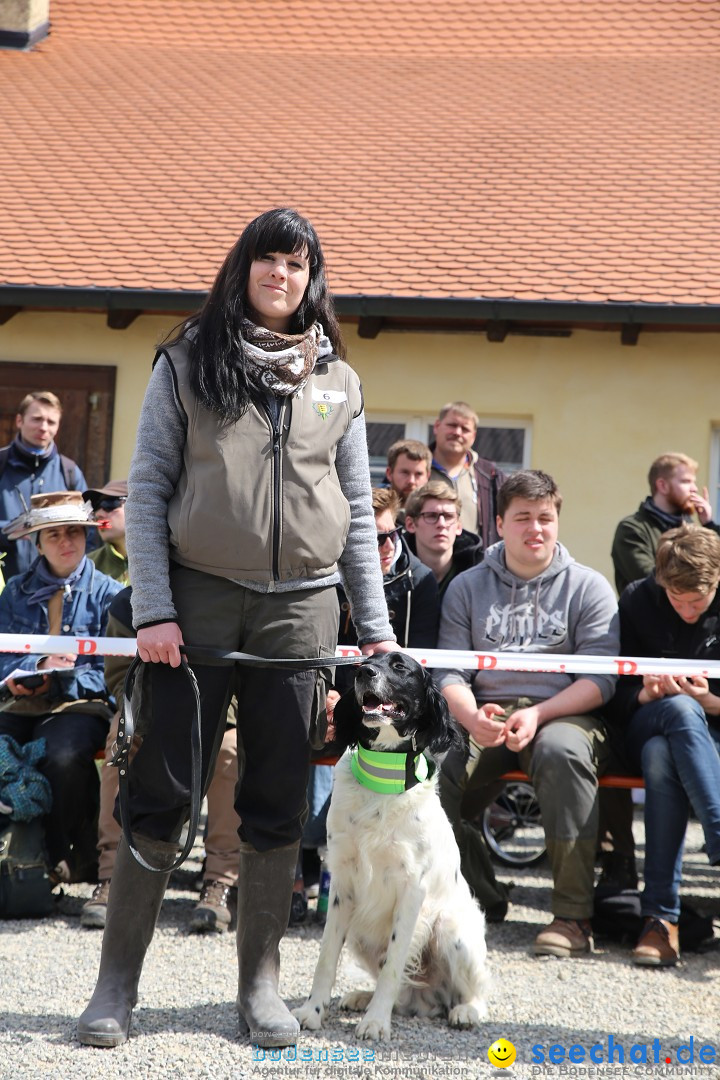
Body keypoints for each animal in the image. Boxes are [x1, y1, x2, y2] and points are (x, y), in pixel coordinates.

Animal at [293, 652, 490, 1041]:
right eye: (366, 661)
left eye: (400, 667)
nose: (365, 673)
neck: (382, 781)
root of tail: (429, 1000)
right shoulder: (342, 885)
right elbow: (326, 957)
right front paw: (313, 1011)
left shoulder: (412, 890)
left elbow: (394, 966)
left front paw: (376, 1022)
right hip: (360, 934)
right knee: (406, 997)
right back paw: (360, 997)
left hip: (451, 929)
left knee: (473, 991)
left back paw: (465, 1011)